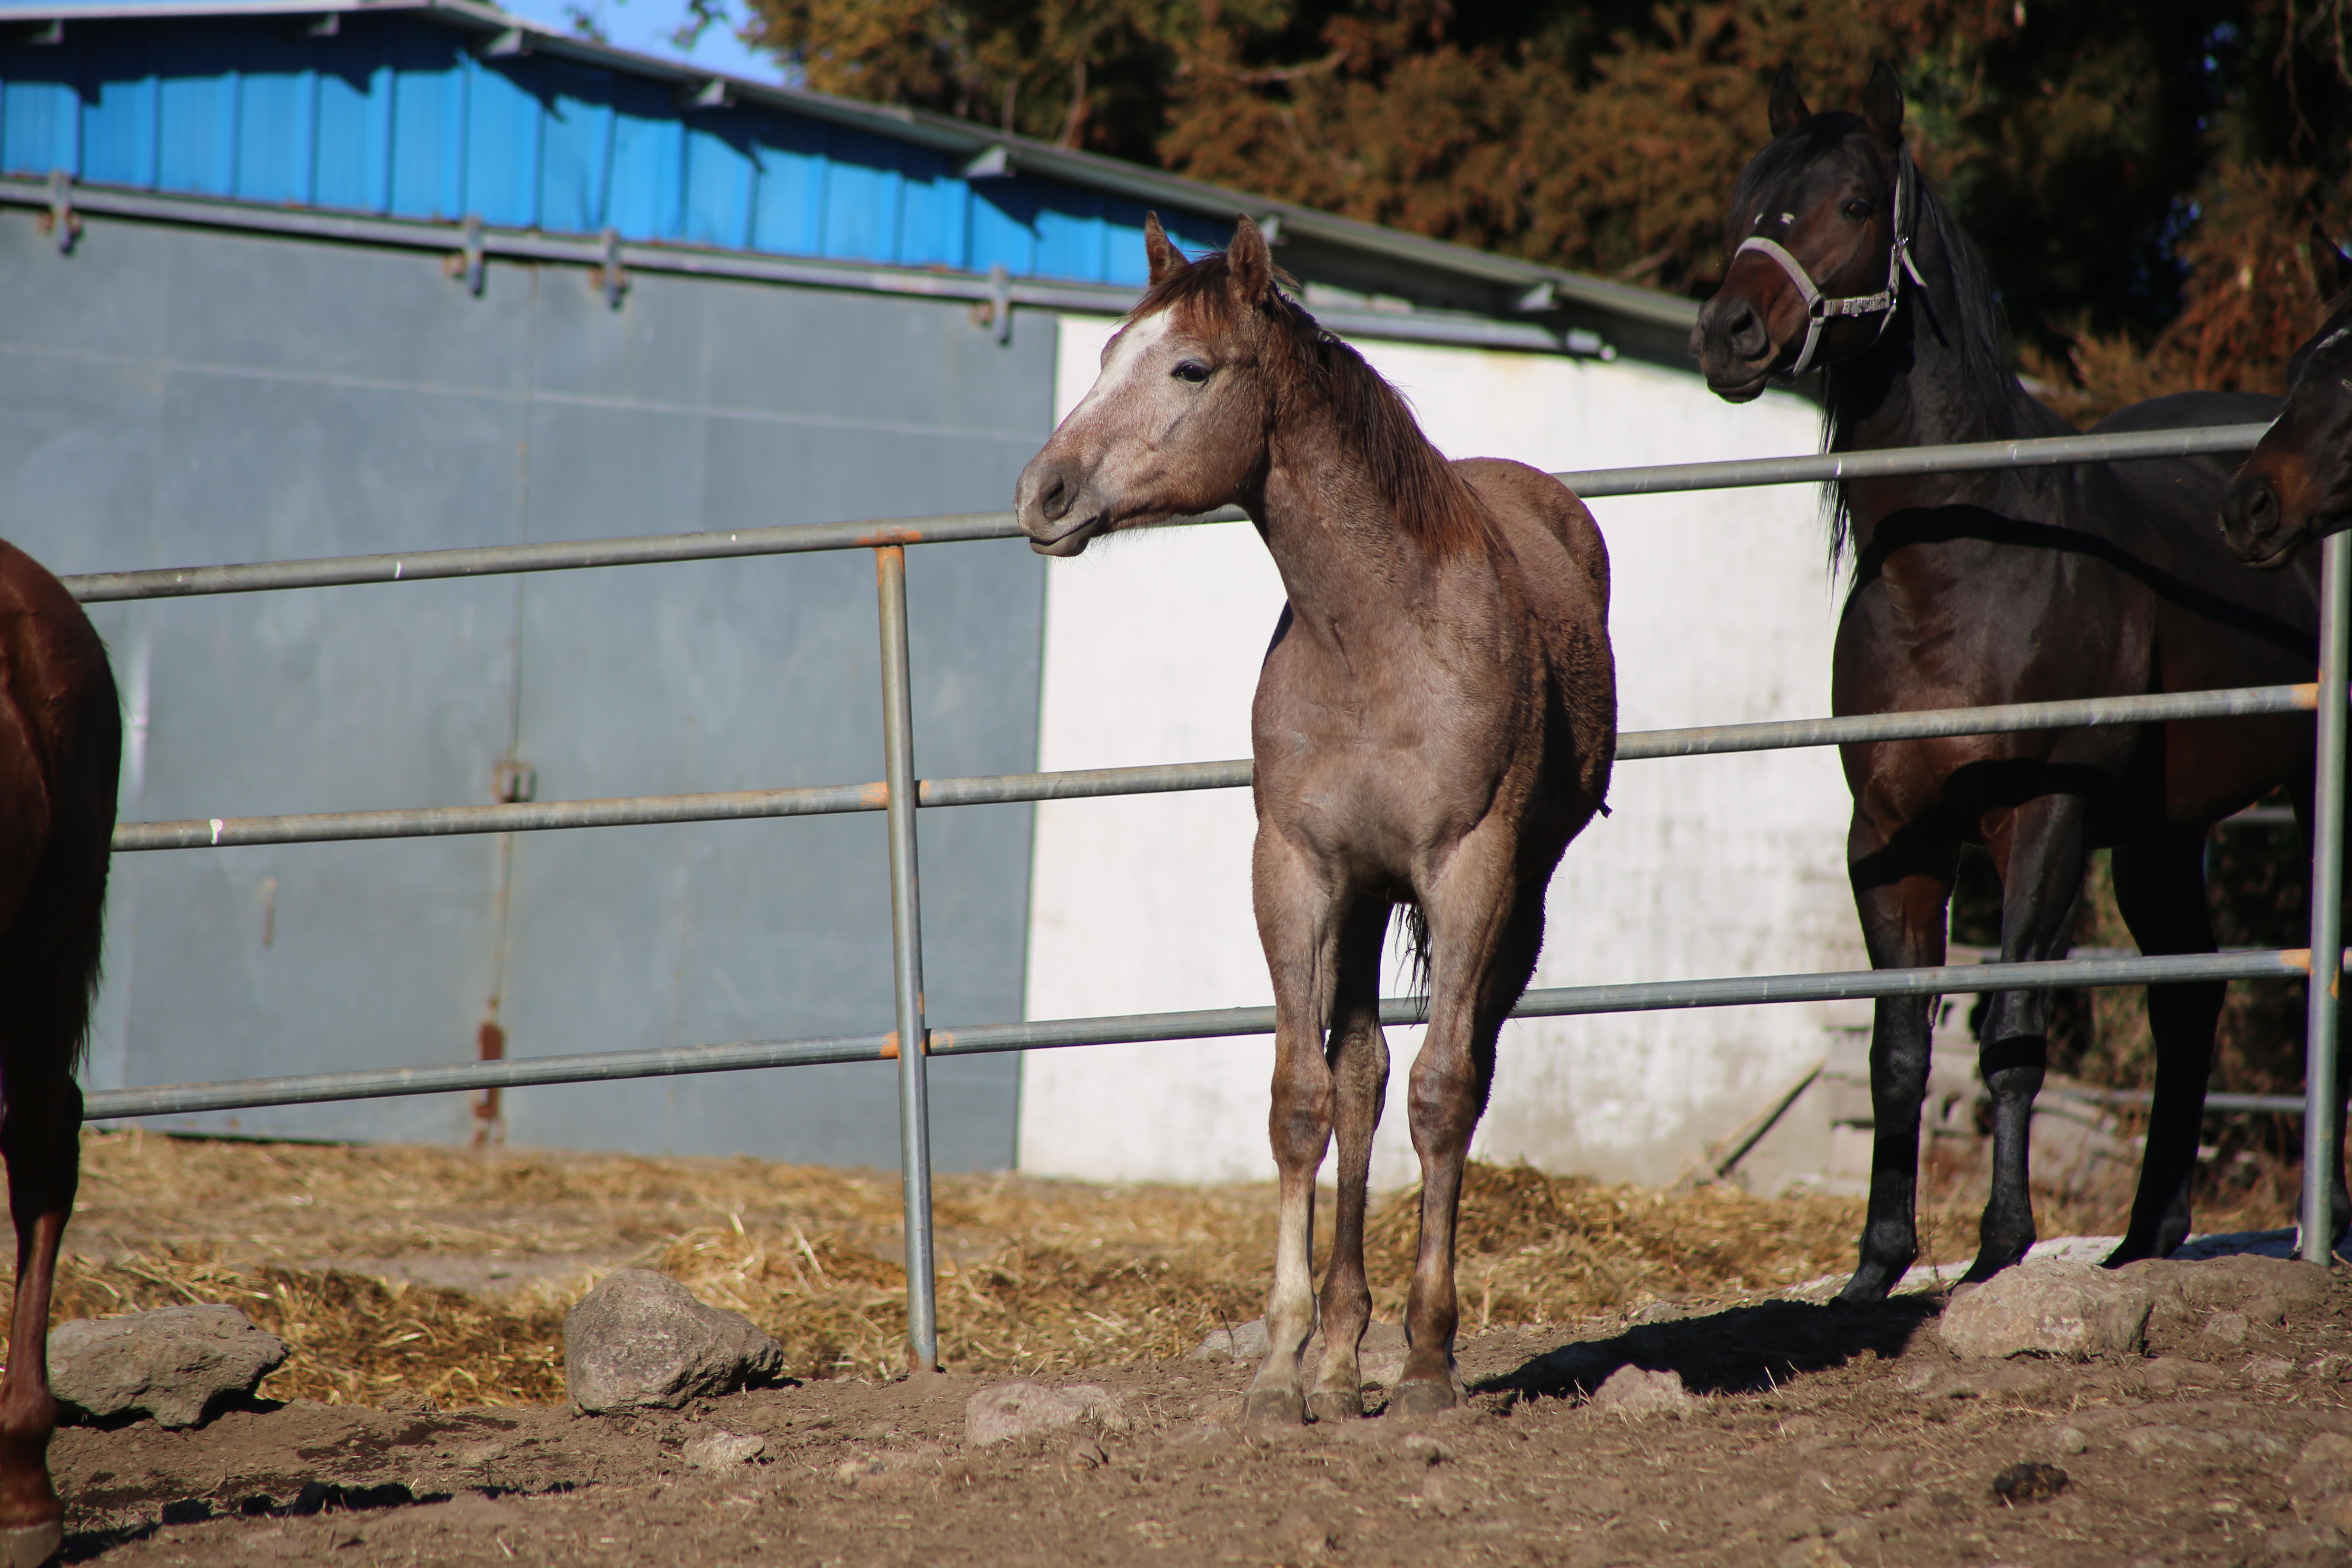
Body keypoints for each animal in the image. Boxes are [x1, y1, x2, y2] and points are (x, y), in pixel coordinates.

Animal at [1011, 212, 1618, 1420]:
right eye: (1105, 356)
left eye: (1190, 368)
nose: (1042, 493)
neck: (1378, 637)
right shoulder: (1296, 869)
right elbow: (1305, 1096)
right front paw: (1284, 1366)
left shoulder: (1470, 873)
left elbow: (1441, 1091)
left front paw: (1427, 1363)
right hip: (1367, 894)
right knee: (1359, 1078)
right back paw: (1340, 1358)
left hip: (1517, 899)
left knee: (1457, 1074)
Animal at [1693, 61, 2333, 1307]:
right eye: (1747, 199)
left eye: (1851, 203)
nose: (1727, 332)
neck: (1962, 568)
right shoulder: (1889, 838)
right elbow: (1899, 1048)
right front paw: (1875, 1267)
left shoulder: (2040, 822)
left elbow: (2010, 1033)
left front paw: (1998, 1250)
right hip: (2158, 834)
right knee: (2189, 999)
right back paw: (2142, 1241)